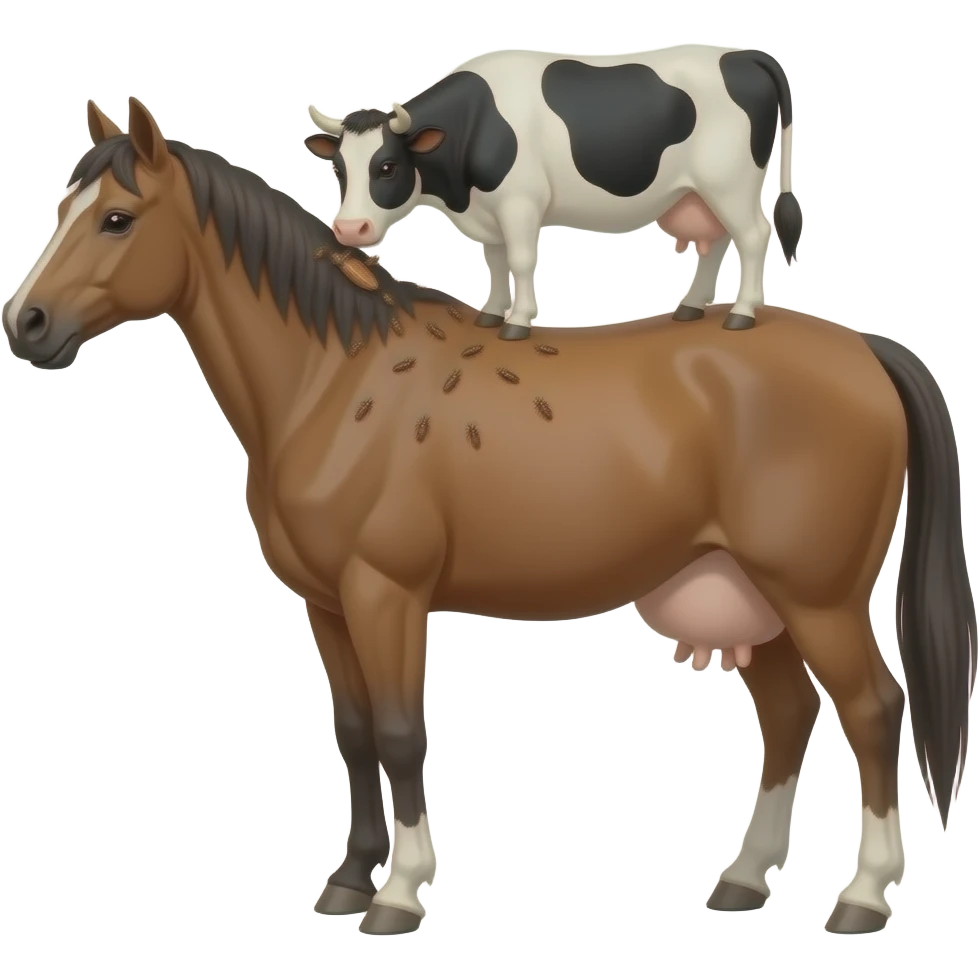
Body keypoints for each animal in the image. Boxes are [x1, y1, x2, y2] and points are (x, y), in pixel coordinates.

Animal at [2, 96, 973, 937]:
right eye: (65, 205)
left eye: (117, 219)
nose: (27, 323)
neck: (335, 379)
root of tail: (862, 348)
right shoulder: (327, 603)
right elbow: (355, 734)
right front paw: (348, 878)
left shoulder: (385, 594)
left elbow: (401, 734)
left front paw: (398, 891)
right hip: (749, 592)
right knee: (788, 713)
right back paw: (741, 877)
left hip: (817, 598)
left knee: (871, 710)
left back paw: (863, 894)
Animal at [305, 45, 804, 340]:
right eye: (338, 168)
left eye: (387, 166)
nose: (349, 229)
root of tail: (743, 55)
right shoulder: (489, 212)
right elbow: (496, 261)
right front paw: (491, 313)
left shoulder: (520, 202)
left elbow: (522, 260)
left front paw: (518, 322)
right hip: (699, 192)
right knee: (716, 241)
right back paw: (691, 307)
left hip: (730, 182)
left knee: (753, 236)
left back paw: (743, 313)